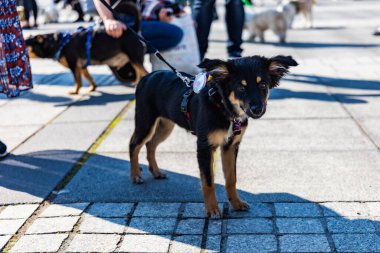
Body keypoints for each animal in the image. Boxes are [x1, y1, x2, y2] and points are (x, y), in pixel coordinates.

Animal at [131, 54, 300, 216]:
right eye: (241, 87)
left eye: (263, 85)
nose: (257, 109)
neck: (225, 109)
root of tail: (148, 76)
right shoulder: (205, 147)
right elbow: (208, 181)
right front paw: (212, 209)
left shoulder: (230, 146)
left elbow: (231, 178)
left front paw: (236, 203)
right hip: (145, 122)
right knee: (134, 144)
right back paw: (136, 175)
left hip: (165, 125)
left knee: (151, 144)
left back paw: (156, 172)